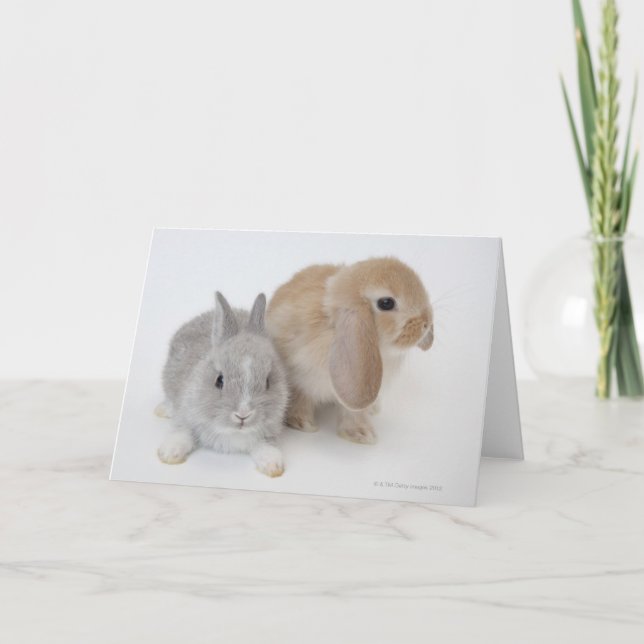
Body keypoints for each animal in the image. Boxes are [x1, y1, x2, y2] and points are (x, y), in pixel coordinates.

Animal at [156, 292, 289, 478]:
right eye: (219, 380)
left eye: (268, 382)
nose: (243, 415)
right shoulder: (186, 413)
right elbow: (182, 431)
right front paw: (169, 453)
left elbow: (265, 446)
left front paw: (273, 466)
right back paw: (162, 410)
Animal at [266, 257, 433, 445]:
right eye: (386, 303)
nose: (426, 323)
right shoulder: (301, 378)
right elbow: (300, 400)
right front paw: (303, 423)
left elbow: (353, 413)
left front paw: (361, 434)